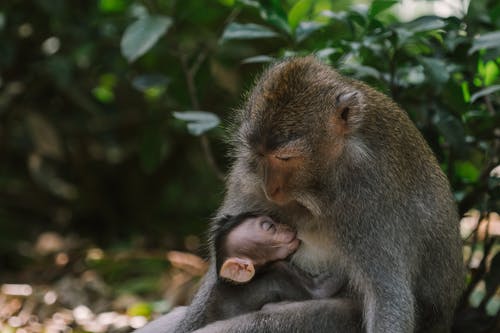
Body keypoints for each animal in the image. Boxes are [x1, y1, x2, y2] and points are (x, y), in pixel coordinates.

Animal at [136, 55, 460, 330]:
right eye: (259, 154)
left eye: (285, 157)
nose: (270, 188)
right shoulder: (246, 176)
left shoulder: (372, 194)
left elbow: (388, 297)